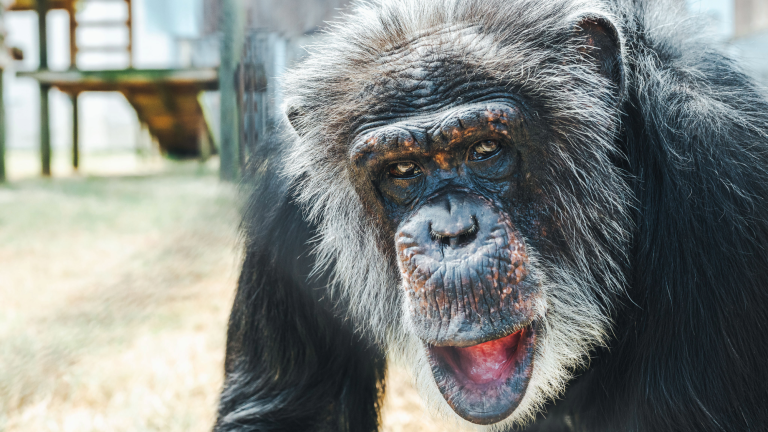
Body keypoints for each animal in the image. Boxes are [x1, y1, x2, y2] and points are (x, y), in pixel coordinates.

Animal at [214, 0, 768, 431]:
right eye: (401, 170)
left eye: (485, 149)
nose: (452, 232)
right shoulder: (284, 204)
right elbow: (293, 410)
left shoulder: (724, 167)